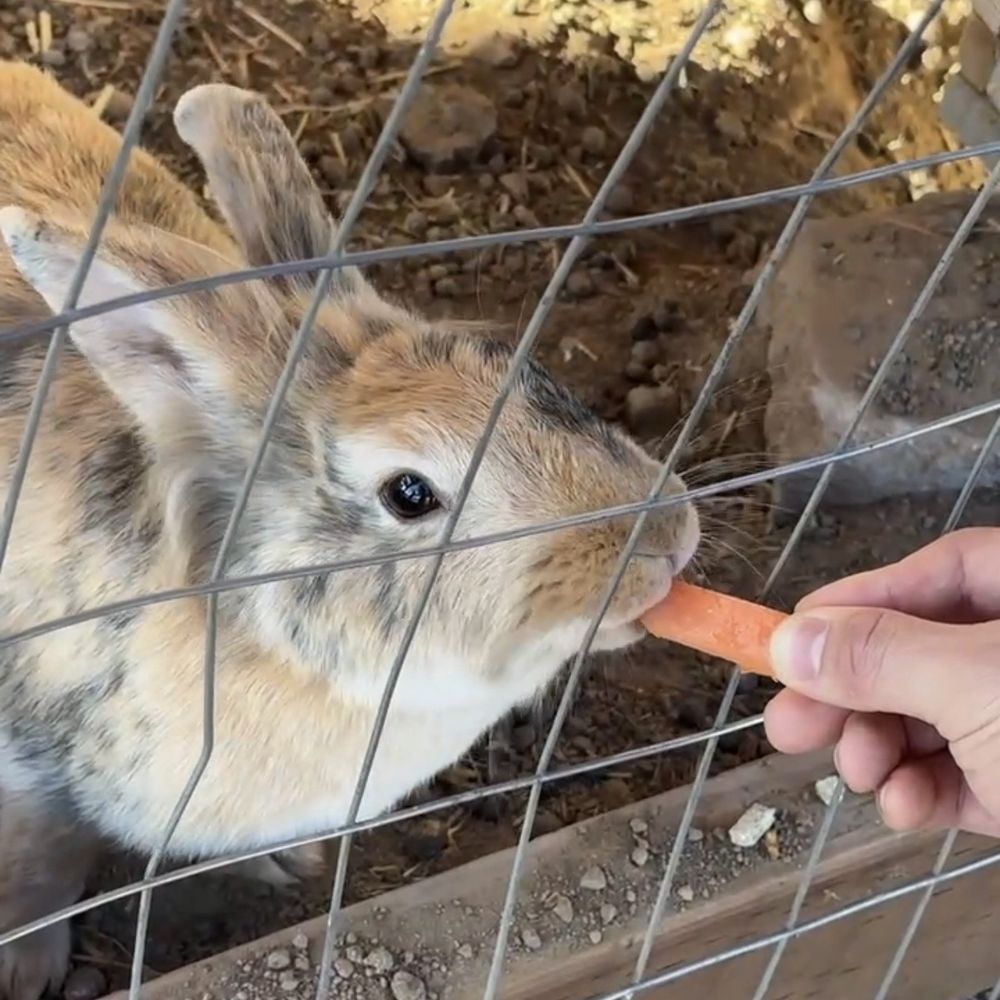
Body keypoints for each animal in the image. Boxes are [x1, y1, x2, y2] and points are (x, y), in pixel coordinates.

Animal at [0, 62, 701, 1000]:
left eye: (529, 371)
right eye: (409, 493)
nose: (668, 541)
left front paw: (279, 871)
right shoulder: (29, 774)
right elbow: (39, 867)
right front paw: (25, 970)